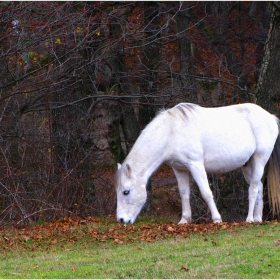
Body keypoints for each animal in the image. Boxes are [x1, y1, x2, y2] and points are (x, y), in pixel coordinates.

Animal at [114, 102, 280, 223]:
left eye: (126, 192)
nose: (121, 220)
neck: (172, 131)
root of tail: (271, 117)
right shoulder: (178, 168)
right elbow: (183, 193)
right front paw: (184, 220)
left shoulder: (196, 165)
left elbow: (206, 192)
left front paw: (217, 219)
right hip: (247, 165)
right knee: (259, 187)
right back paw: (258, 219)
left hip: (259, 160)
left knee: (253, 189)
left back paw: (249, 219)